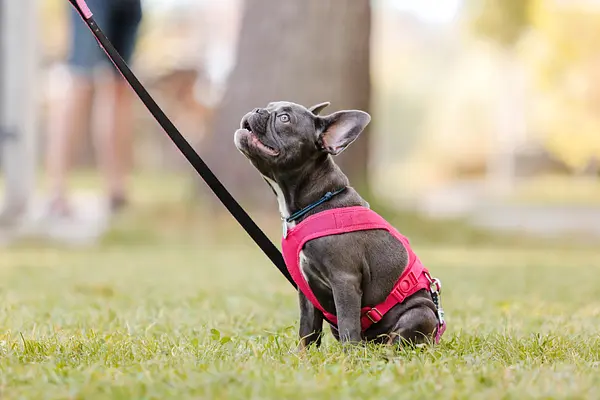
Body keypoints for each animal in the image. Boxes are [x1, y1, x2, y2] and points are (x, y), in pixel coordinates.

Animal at [234, 101, 446, 348]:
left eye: (284, 118)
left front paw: (349, 356)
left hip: (420, 313)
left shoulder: (344, 280)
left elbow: (348, 326)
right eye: (269, 106)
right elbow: (307, 330)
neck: (317, 199)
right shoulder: (306, 294)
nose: (258, 110)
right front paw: (303, 355)